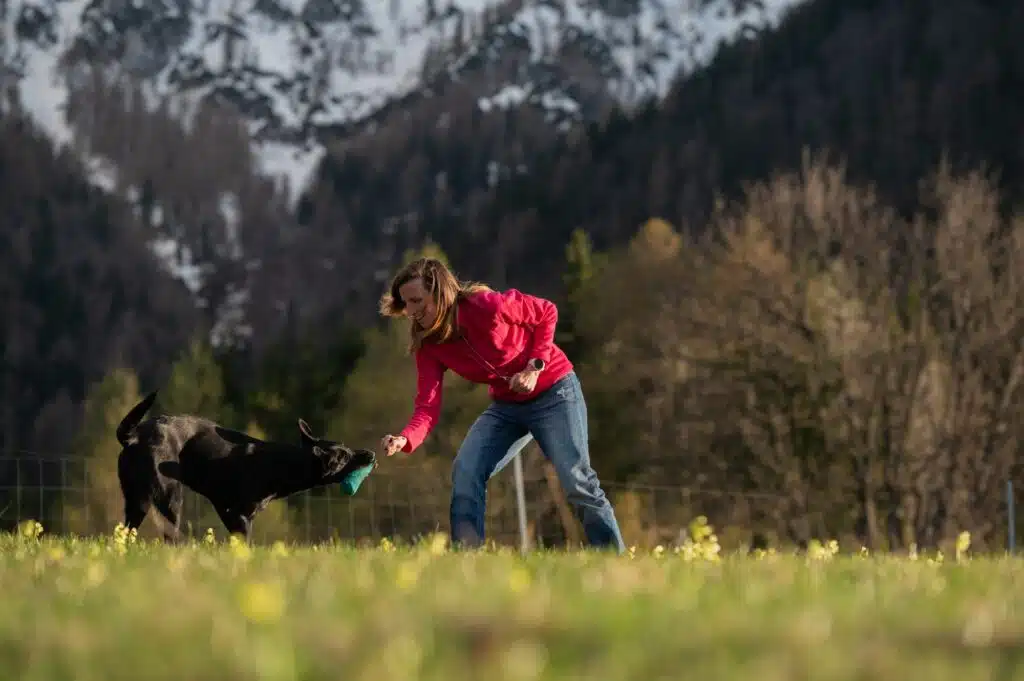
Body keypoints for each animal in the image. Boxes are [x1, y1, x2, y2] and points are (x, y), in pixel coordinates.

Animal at [114, 387, 376, 540]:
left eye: (347, 448)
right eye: (342, 458)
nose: (371, 454)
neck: (284, 463)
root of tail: (134, 436)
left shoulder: (227, 511)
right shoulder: (240, 514)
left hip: (136, 501)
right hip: (169, 498)